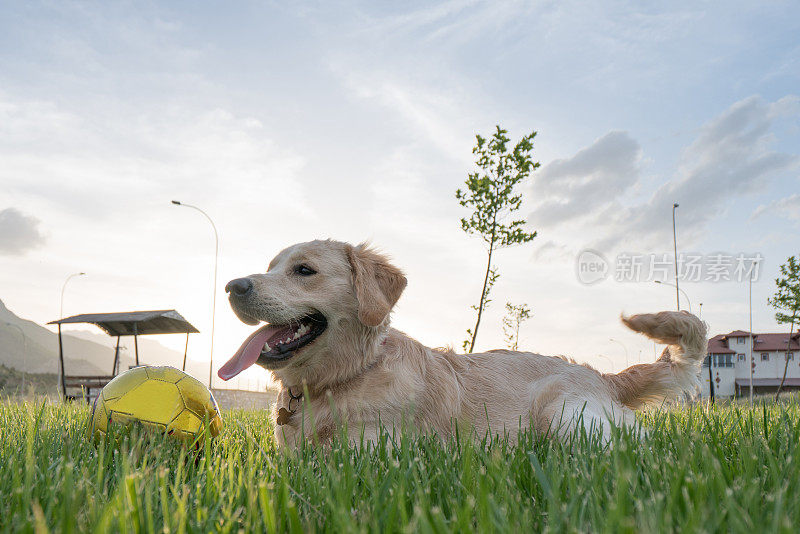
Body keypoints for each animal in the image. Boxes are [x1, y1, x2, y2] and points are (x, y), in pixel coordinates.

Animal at [217, 241, 708, 450]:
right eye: (270, 266)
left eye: (304, 270)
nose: (232, 285)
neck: (348, 374)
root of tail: (601, 375)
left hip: (562, 414)